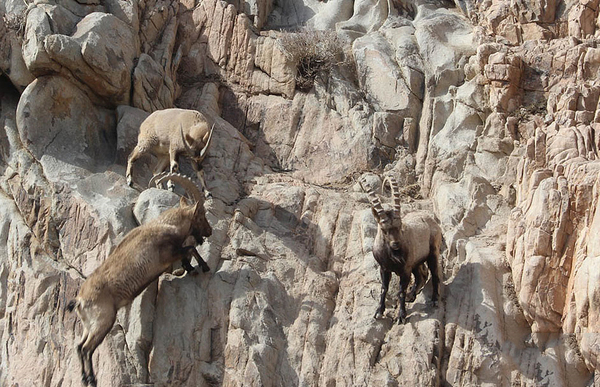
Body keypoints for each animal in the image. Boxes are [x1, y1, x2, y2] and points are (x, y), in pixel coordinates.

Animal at [67, 174, 212, 386]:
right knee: (86, 348)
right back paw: (91, 379)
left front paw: (192, 267)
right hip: (103, 319)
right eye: (201, 216)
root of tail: (79, 300)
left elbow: (188, 252)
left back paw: (85, 378)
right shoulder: (167, 255)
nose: (209, 231)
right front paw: (200, 267)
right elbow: (190, 249)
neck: (165, 225)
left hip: (88, 323)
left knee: (79, 346)